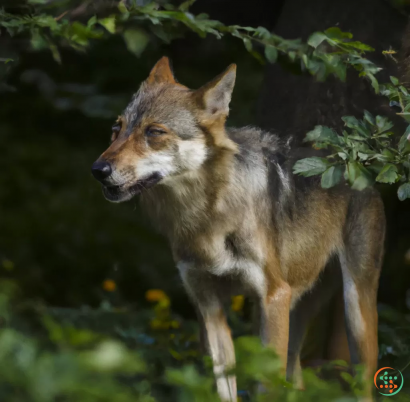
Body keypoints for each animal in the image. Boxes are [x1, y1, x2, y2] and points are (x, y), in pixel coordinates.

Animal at [91, 57, 386, 402]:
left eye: (154, 132)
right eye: (117, 129)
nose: (98, 170)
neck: (205, 218)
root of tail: (349, 158)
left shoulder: (274, 295)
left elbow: (265, 387)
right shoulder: (208, 306)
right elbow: (224, 386)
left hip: (354, 314)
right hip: (294, 310)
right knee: (296, 375)